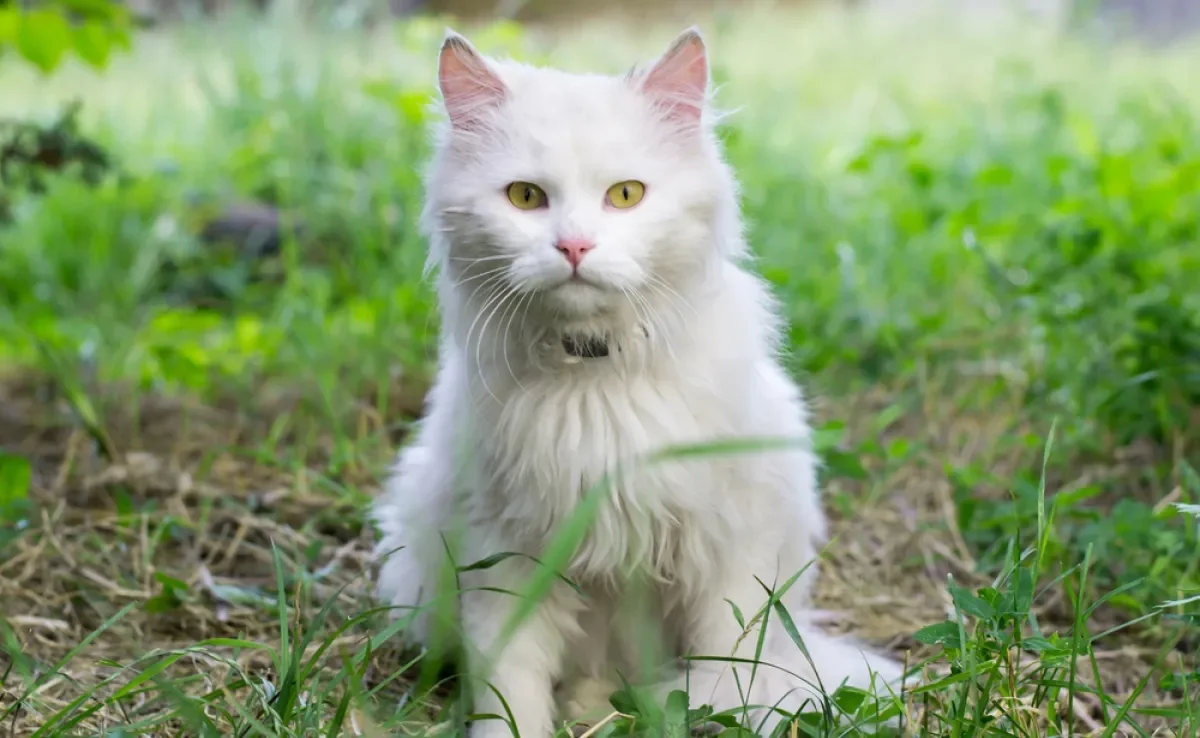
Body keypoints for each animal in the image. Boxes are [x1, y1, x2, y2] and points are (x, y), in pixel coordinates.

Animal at [369, 25, 902, 738]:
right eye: (525, 197)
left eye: (625, 195)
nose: (574, 246)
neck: (596, 374)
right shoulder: (505, 551)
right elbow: (509, 684)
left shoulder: (733, 544)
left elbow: (728, 669)